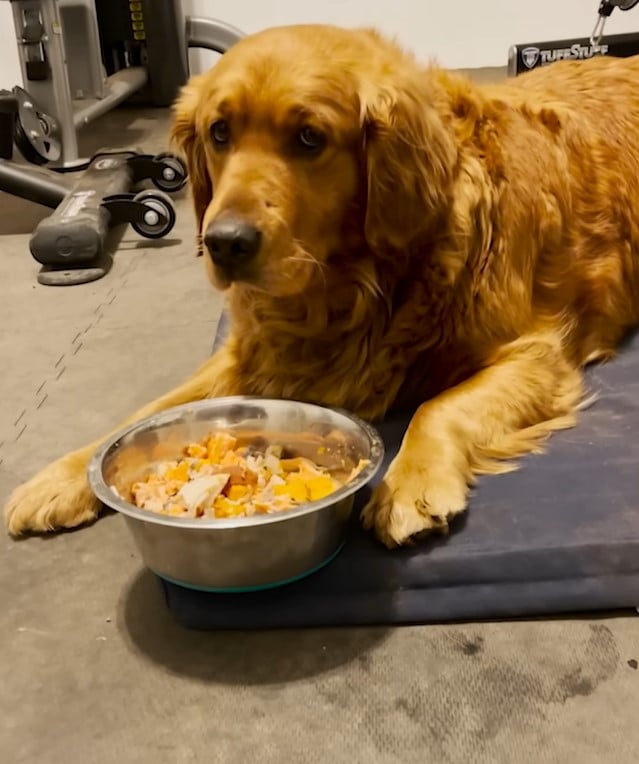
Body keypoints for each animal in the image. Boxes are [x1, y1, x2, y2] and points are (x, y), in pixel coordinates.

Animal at [3, 23, 639, 548]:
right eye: (219, 132)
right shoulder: (250, 352)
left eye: (309, 138)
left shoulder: (536, 355)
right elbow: (148, 409)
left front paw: (409, 484)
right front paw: (60, 476)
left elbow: (438, 405)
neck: (357, 285)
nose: (224, 242)